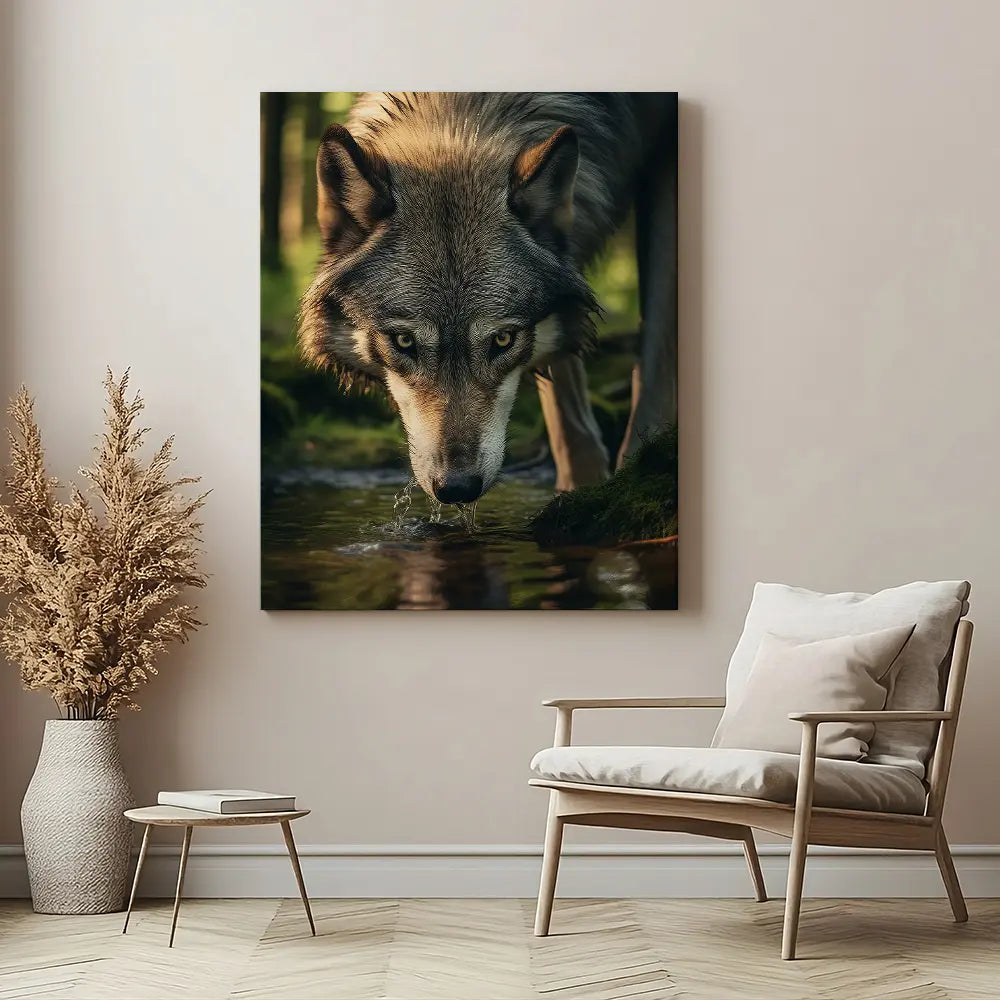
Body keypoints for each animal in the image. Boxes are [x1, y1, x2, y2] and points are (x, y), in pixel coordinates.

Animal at [299, 92, 677, 504]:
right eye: (403, 341)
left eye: (502, 340)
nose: (457, 487)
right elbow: (567, 412)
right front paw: (582, 489)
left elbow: (657, 361)